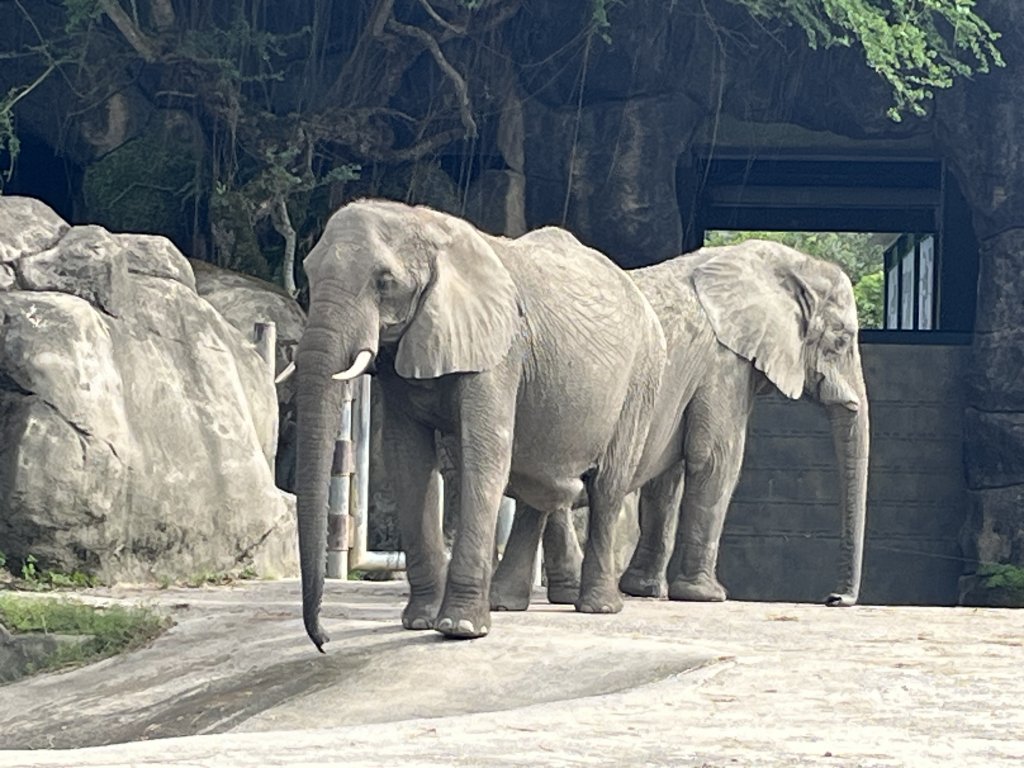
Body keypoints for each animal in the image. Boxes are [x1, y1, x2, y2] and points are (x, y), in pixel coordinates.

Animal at [294, 196, 671, 651]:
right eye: (309, 273)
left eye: (384, 282)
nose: (323, 640)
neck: (427, 225)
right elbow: (406, 459)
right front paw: (419, 621)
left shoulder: (499, 351)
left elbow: (485, 451)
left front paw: (459, 629)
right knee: (539, 484)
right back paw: (507, 603)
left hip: (642, 378)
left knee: (607, 487)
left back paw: (598, 608)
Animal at [495, 240, 872, 614]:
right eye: (841, 341)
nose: (834, 599)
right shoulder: (723, 363)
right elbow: (716, 461)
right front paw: (706, 595)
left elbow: (667, 477)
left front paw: (644, 590)